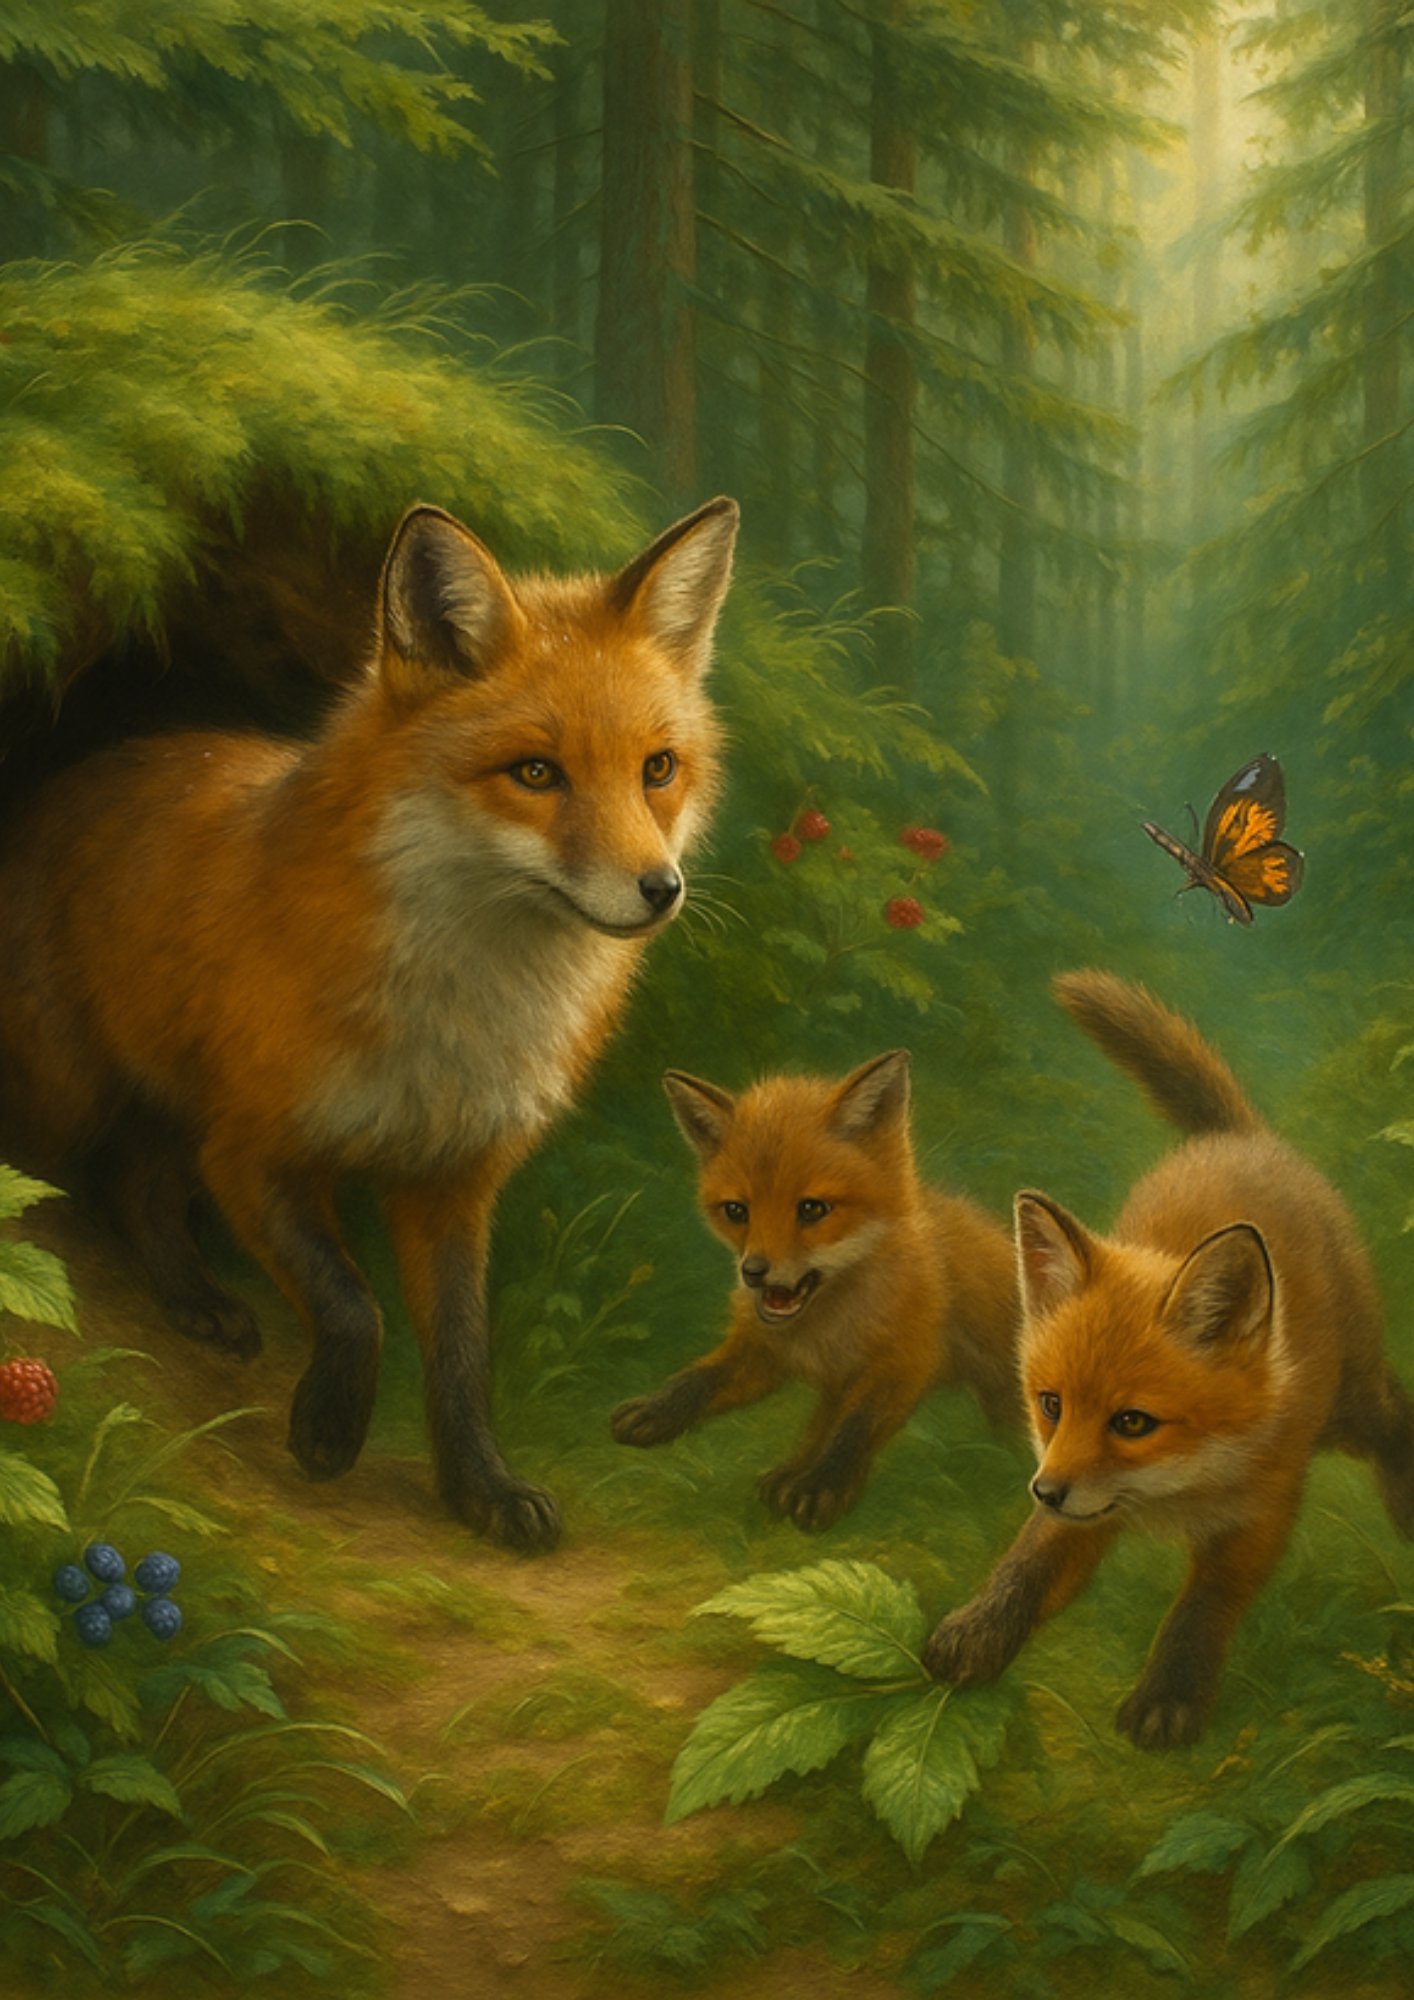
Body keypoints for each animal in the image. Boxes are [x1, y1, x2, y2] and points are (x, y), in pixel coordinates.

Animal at [0, 495, 740, 1551]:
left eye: (658, 769)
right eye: (536, 773)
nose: (659, 891)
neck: (456, 1019)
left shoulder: (455, 1182)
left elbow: (463, 1355)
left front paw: (480, 1490)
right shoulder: (252, 1150)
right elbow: (353, 1305)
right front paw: (329, 1427)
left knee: (137, 1187)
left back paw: (195, 1301)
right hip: (74, 1095)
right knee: (80, 1181)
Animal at [610, 1050, 1021, 1529]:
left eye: (812, 1209)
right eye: (736, 1211)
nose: (753, 1272)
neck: (824, 1330)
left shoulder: (905, 1360)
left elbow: (853, 1429)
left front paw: (819, 1484)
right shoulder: (764, 1350)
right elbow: (700, 1377)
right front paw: (658, 1409)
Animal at [922, 968, 1414, 1749]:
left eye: (1133, 1422)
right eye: (1051, 1405)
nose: (1043, 1489)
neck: (1176, 1491)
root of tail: (1237, 1137)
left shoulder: (1262, 1508)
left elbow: (1204, 1602)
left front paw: (1170, 1695)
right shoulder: (1078, 1498)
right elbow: (1027, 1566)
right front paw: (980, 1632)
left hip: (1349, 1404)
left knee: (1396, 1416)